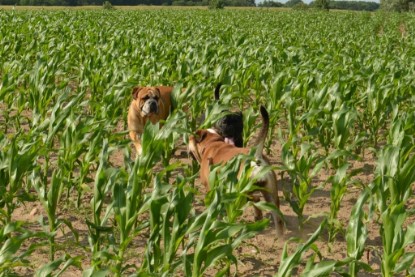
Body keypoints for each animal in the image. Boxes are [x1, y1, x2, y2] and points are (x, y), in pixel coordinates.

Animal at [190, 105, 284, 235]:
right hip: (271, 194)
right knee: (276, 216)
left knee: (254, 199)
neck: (212, 142)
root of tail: (256, 156)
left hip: (242, 188)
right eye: (223, 122)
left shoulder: (210, 187)